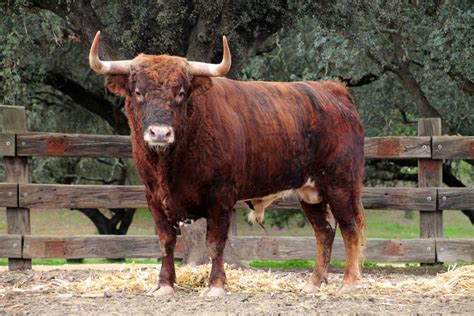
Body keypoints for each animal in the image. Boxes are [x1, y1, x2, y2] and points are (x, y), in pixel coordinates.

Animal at [90, 31, 366, 296]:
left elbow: (214, 242)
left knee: (350, 227)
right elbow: (166, 241)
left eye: (181, 93)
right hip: (310, 193)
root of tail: (333, 91)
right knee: (324, 232)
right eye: (138, 92)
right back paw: (314, 283)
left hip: (341, 184)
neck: (169, 164)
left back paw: (349, 282)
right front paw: (164, 285)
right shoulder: (153, 197)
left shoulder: (220, 195)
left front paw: (216, 285)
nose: (160, 133)